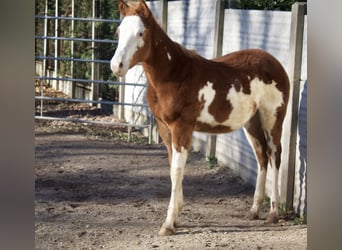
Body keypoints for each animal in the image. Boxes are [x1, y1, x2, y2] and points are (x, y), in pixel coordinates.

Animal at [111, 0, 290, 236]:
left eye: (140, 33)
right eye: (118, 31)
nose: (117, 66)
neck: (173, 75)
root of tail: (276, 63)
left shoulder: (182, 128)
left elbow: (177, 170)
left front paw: (168, 224)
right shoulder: (165, 128)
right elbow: (172, 169)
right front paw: (177, 216)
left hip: (272, 118)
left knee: (275, 155)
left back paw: (273, 213)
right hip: (252, 122)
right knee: (262, 156)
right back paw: (253, 210)